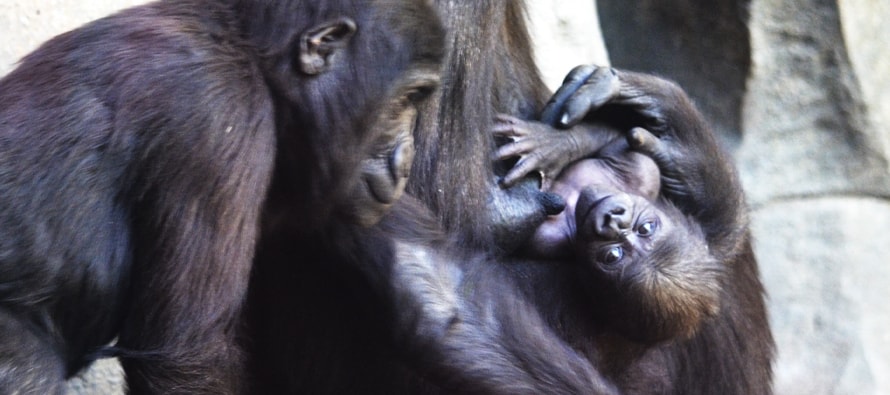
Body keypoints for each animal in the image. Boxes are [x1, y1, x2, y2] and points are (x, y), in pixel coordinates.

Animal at [492, 117, 720, 344]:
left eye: (612, 255)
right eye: (645, 228)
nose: (613, 222)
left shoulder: (548, 241)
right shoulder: (645, 178)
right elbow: (623, 138)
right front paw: (558, 143)